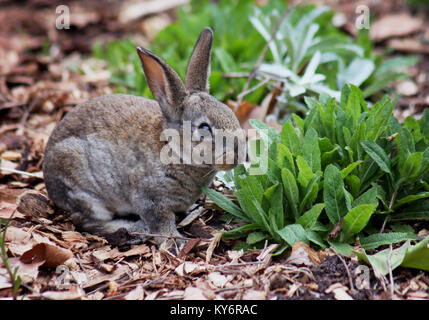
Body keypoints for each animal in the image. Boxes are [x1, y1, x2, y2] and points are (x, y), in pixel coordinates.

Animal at [43, 27, 246, 250]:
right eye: (204, 127)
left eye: (229, 112)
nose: (238, 156)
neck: (173, 148)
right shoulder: (150, 199)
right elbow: (161, 222)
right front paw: (175, 242)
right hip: (85, 189)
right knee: (87, 221)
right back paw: (134, 229)